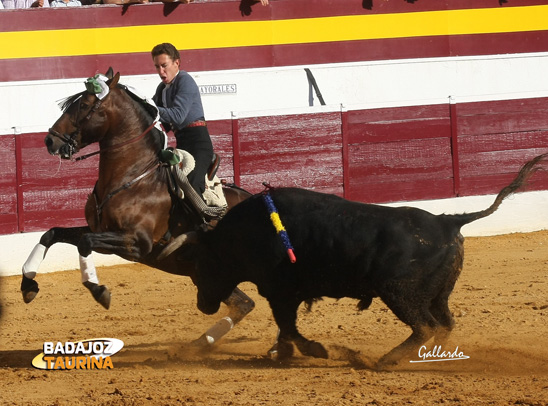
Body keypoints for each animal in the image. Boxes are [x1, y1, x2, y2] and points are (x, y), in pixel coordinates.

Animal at [19, 69, 255, 346]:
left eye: (85, 105)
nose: (50, 140)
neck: (133, 177)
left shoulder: (138, 243)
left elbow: (84, 243)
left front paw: (99, 291)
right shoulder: (97, 229)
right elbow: (52, 233)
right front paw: (28, 286)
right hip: (207, 275)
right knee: (244, 304)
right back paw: (201, 344)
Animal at [176, 153, 548, 368]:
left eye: (200, 266)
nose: (202, 305)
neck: (244, 233)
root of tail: (449, 221)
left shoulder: (281, 292)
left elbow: (290, 327)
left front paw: (315, 351)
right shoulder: (283, 295)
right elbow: (286, 328)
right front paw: (284, 354)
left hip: (399, 292)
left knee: (425, 326)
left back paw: (386, 360)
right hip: (437, 294)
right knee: (445, 324)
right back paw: (429, 358)